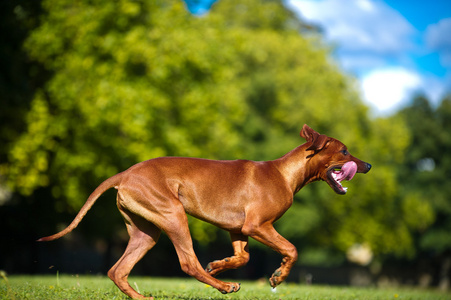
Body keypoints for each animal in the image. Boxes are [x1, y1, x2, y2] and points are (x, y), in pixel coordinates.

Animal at [38, 124, 370, 298]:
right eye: (344, 151)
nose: (367, 165)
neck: (285, 173)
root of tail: (124, 174)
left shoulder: (238, 230)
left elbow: (243, 257)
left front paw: (219, 264)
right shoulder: (257, 226)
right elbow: (291, 249)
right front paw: (277, 277)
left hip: (146, 232)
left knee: (116, 270)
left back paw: (142, 296)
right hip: (174, 215)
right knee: (188, 264)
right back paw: (225, 287)